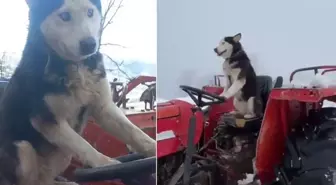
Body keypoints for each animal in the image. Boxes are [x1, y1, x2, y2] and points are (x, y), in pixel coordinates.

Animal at [0, 0, 156, 185]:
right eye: (65, 15)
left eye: (90, 12)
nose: (90, 44)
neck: (75, 65)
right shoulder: (46, 120)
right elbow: (83, 145)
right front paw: (107, 164)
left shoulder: (104, 108)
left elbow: (135, 133)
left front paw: (156, 147)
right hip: (22, 149)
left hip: (62, 157)